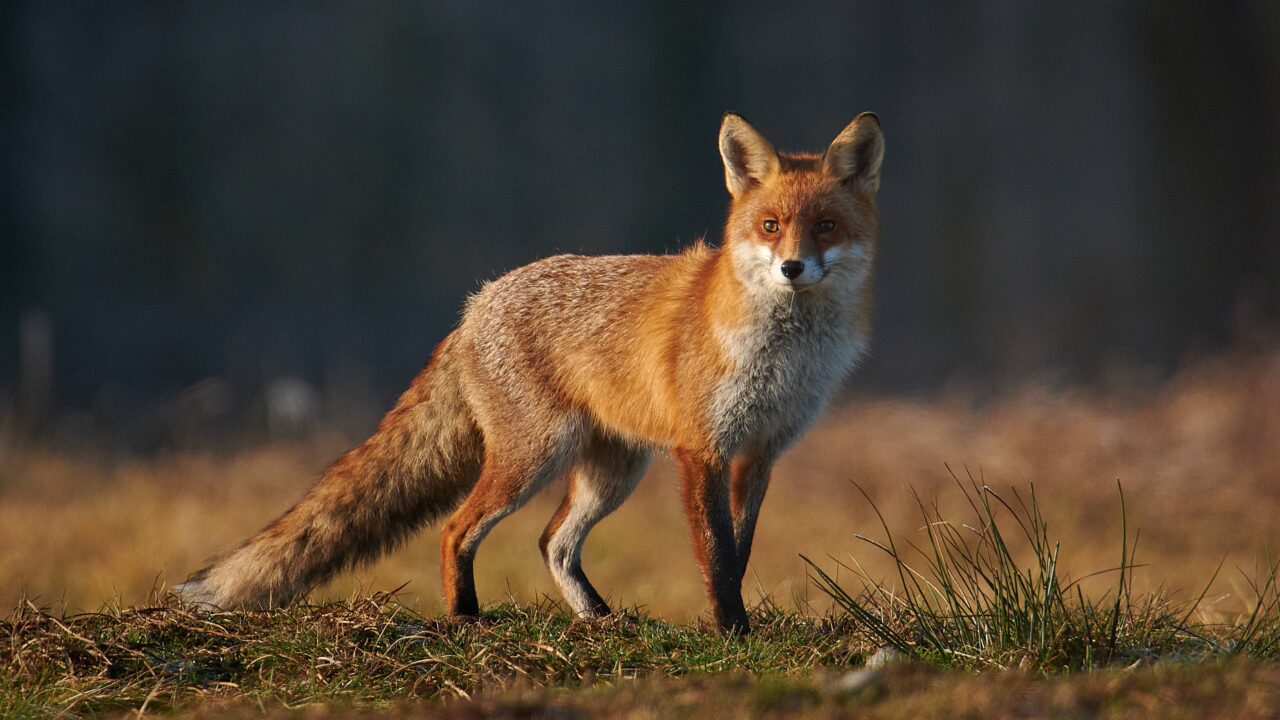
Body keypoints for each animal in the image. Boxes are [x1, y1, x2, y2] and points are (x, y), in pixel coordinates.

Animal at [176, 112, 885, 634]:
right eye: (770, 226)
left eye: (825, 226)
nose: (792, 267)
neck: (784, 357)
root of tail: (474, 305)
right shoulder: (701, 449)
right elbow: (713, 552)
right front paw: (731, 632)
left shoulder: (760, 453)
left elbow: (738, 551)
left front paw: (735, 623)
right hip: (534, 457)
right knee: (456, 529)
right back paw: (466, 619)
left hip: (611, 470)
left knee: (552, 542)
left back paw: (600, 620)